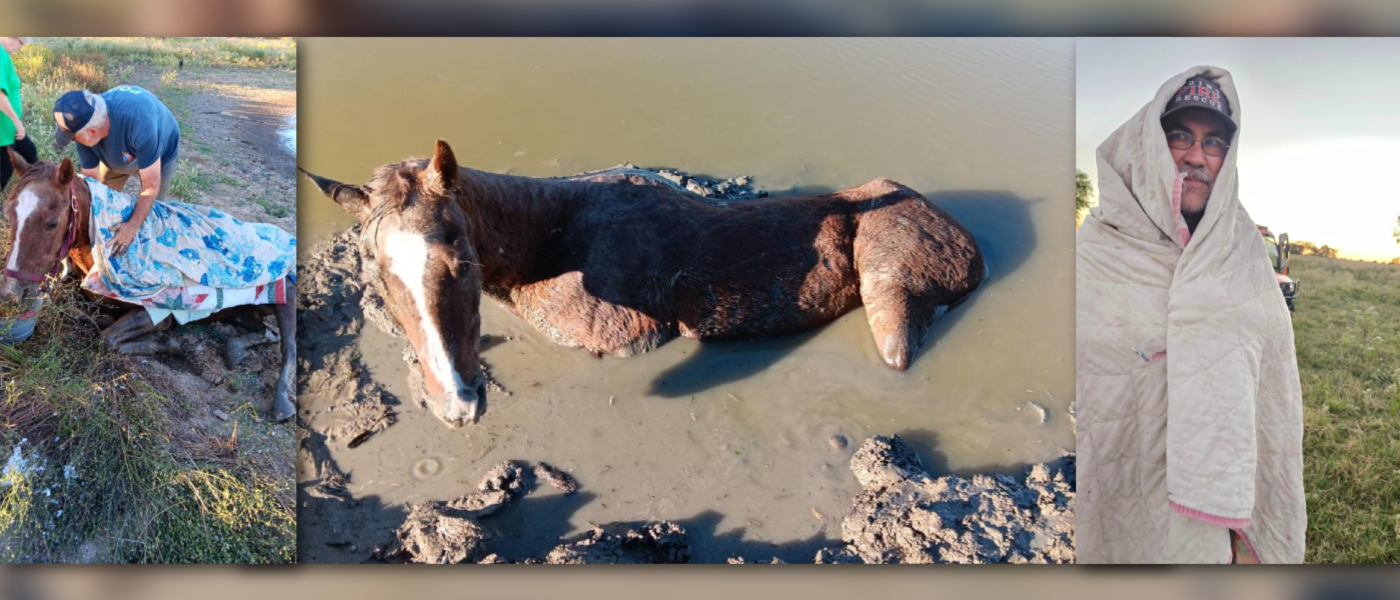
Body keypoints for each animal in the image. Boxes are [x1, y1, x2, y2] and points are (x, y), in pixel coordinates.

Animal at [2, 150, 297, 422]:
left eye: (51, 224)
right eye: (9, 213)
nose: (11, 293)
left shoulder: (158, 312)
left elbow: (107, 339)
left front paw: (168, 343)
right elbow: (83, 312)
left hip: (288, 299)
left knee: (288, 348)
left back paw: (282, 404)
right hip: (241, 310)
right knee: (266, 332)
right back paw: (235, 349)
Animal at [303, 140, 984, 429]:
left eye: (462, 264)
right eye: (377, 274)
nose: (457, 405)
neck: (545, 241)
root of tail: (970, 241)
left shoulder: (626, 339)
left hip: (891, 297)